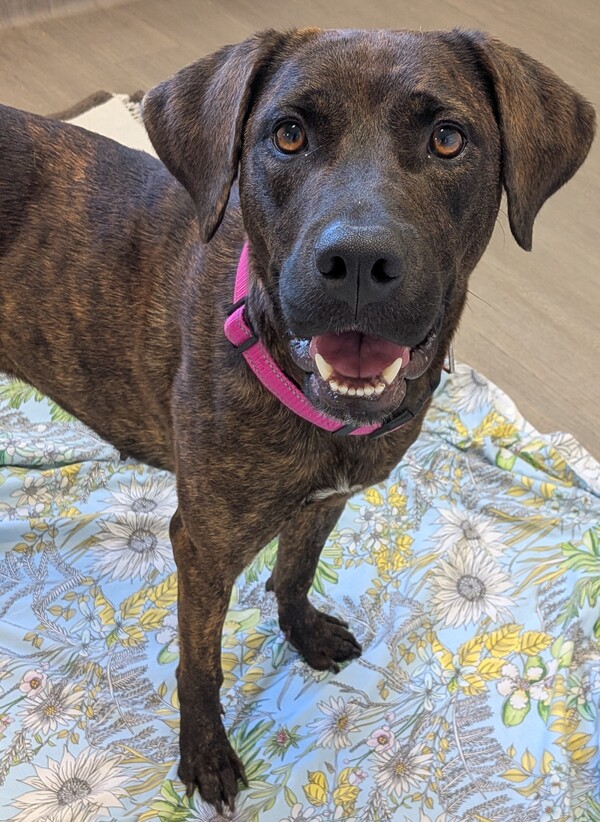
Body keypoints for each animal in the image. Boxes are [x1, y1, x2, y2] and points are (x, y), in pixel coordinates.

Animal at [0, 27, 594, 812]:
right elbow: (200, 662)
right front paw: (206, 753)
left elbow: (296, 566)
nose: (359, 262)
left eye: (447, 139)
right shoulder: (204, 546)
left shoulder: (328, 496)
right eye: (288, 135)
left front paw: (301, 631)